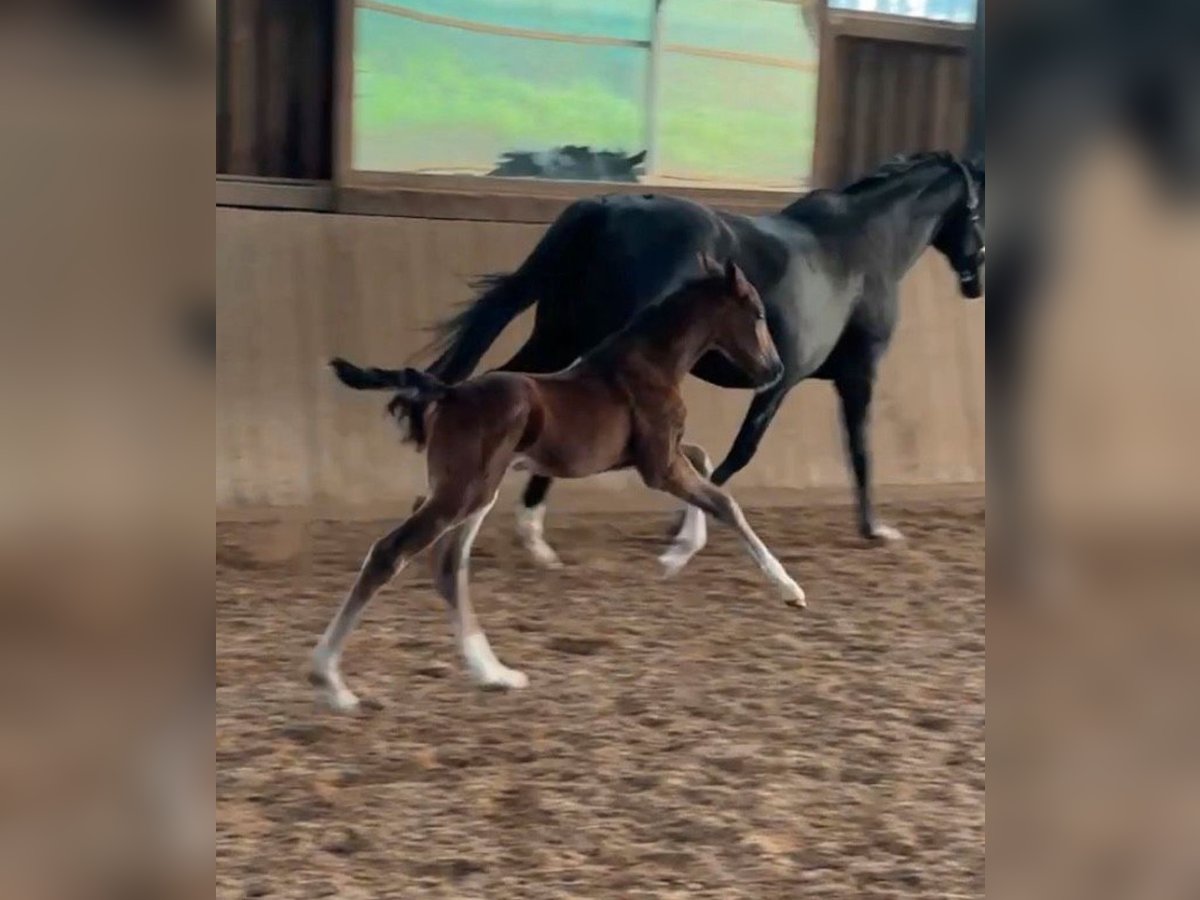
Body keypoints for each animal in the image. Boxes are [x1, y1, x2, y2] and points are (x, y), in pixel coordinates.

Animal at [314, 255, 806, 710]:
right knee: (391, 553)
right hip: (463, 493)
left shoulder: (656, 457)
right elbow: (724, 501)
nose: (775, 370)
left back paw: (494, 673)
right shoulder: (658, 466)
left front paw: (676, 554)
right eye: (757, 312)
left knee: (449, 567)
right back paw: (331, 682)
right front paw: (789, 590)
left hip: (477, 493)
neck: (651, 363)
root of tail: (449, 392)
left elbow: (705, 461)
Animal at [412, 151, 984, 566]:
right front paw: (875, 528)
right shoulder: (823, 376)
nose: (975, 281)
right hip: (586, 342)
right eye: (981, 206)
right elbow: (830, 448)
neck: (861, 247)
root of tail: (606, 209)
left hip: (558, 334)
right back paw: (529, 531)